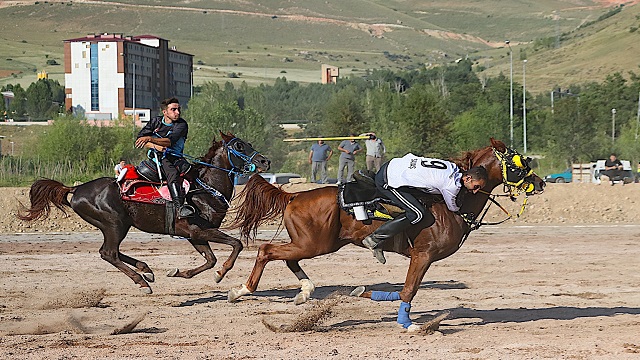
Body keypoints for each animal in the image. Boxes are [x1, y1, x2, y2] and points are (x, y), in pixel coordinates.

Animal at [18, 131, 270, 294]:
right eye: (239, 147)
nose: (264, 161)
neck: (205, 188)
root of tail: (76, 188)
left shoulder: (194, 235)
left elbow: (210, 259)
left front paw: (179, 273)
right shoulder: (199, 230)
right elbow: (235, 245)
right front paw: (221, 273)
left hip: (116, 226)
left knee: (113, 252)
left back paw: (145, 270)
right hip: (114, 225)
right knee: (109, 253)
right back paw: (142, 281)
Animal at [228, 139, 544, 330]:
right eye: (519, 164)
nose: (540, 183)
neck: (452, 202)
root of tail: (293, 196)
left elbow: (400, 290)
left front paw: (365, 292)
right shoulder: (423, 255)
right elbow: (408, 289)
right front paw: (408, 324)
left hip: (313, 244)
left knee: (286, 257)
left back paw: (305, 291)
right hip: (314, 244)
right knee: (267, 250)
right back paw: (241, 290)